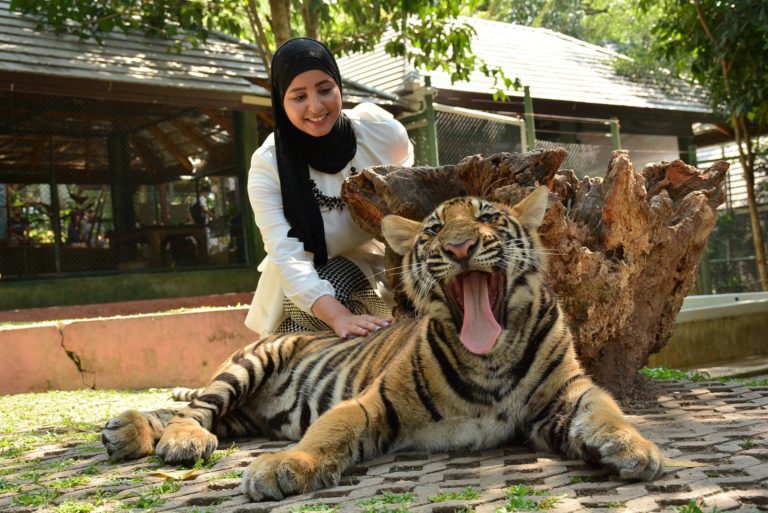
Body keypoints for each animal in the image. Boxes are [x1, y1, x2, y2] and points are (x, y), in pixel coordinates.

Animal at [100, 186, 663, 501]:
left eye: (487, 219)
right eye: (433, 230)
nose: (459, 247)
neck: (491, 357)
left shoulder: (567, 394)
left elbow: (607, 410)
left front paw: (637, 448)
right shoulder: (377, 403)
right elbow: (329, 432)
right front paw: (283, 468)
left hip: (246, 416)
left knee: (193, 412)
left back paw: (125, 433)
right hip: (249, 365)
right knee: (192, 411)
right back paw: (172, 440)